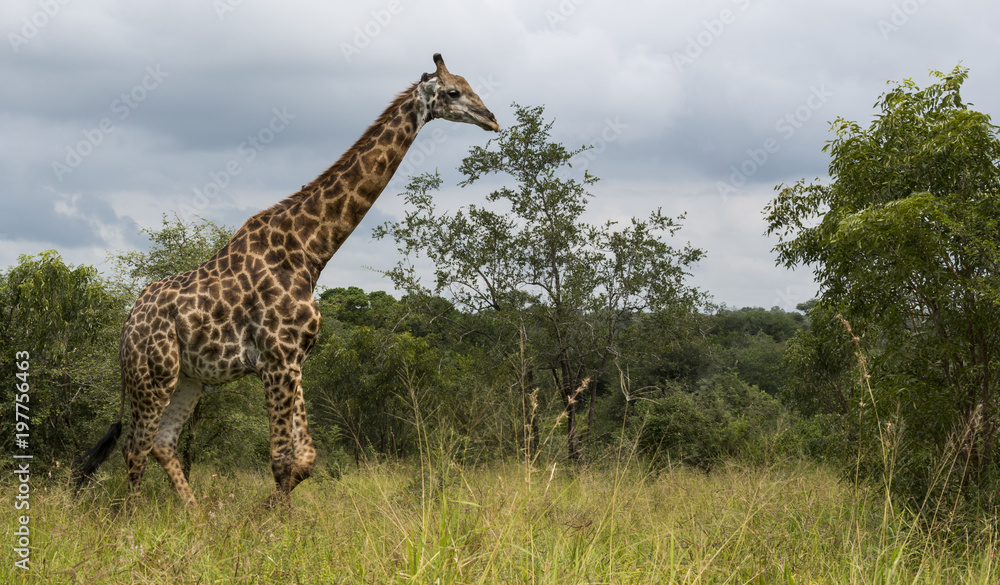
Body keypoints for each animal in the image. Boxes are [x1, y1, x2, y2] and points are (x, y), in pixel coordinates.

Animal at [75, 54, 499, 508]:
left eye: (470, 86)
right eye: (453, 91)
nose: (491, 119)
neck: (309, 252)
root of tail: (126, 325)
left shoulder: (295, 359)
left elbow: (306, 459)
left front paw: (265, 513)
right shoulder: (276, 359)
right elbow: (281, 461)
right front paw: (275, 522)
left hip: (191, 378)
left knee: (162, 441)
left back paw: (197, 516)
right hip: (153, 374)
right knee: (135, 445)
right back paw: (133, 519)